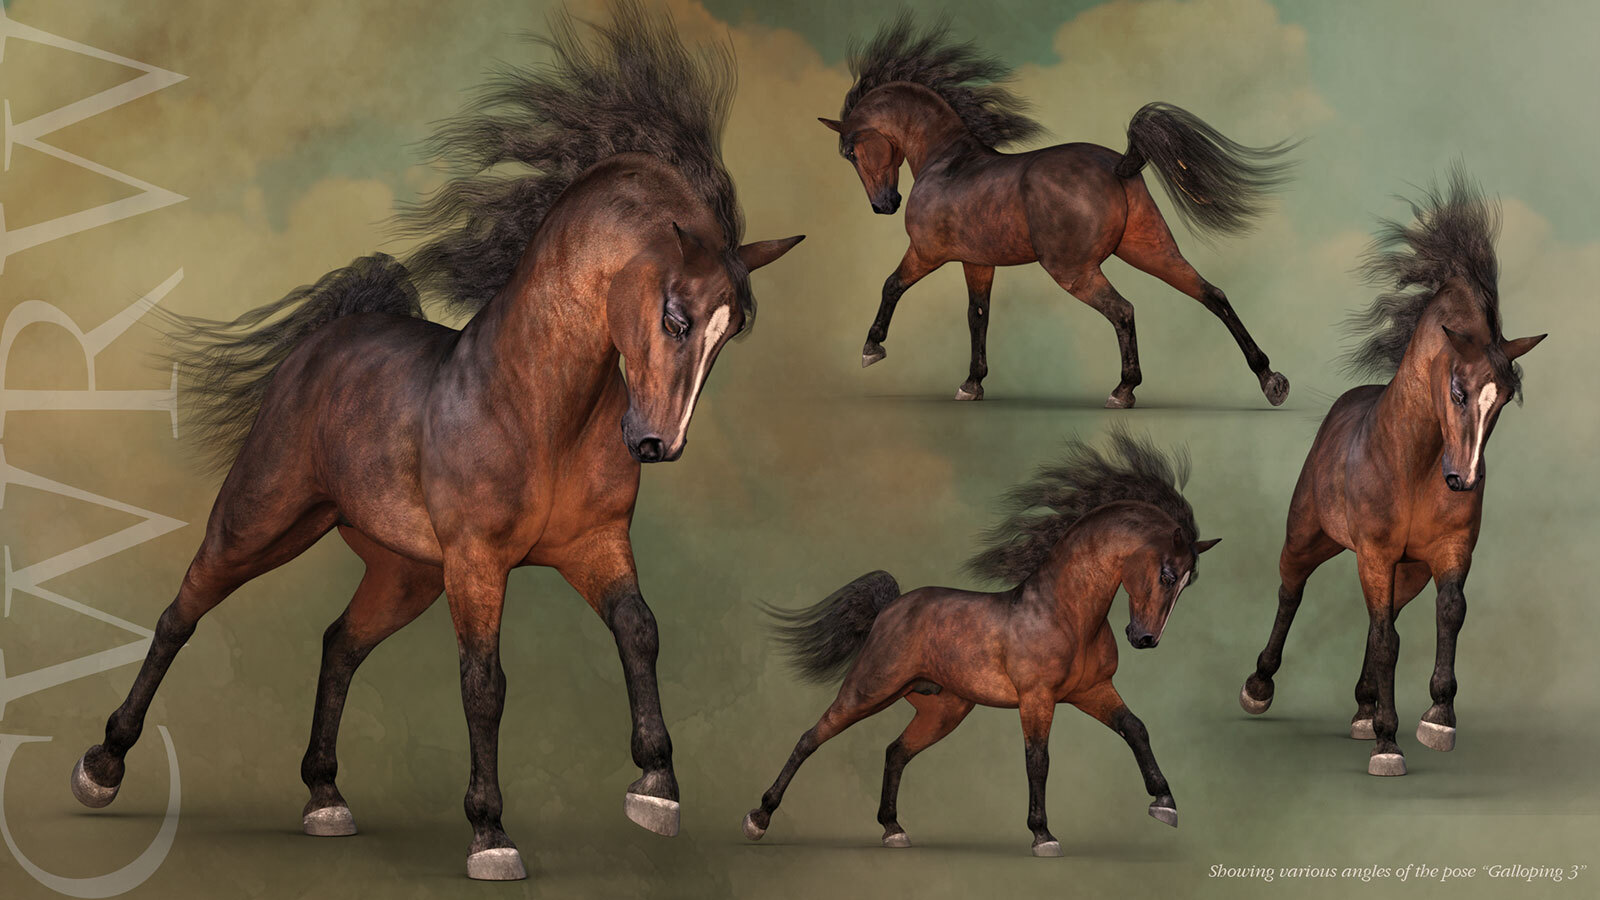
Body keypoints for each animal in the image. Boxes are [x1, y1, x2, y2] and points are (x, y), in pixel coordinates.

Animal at [66, 3, 803, 881]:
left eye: (730, 333)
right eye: (676, 316)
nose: (656, 442)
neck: (543, 408)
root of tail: (325, 340)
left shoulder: (593, 545)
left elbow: (641, 630)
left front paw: (656, 790)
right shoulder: (478, 562)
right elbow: (484, 682)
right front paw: (491, 835)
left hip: (402, 570)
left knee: (338, 643)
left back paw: (325, 799)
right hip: (263, 518)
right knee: (183, 610)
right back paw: (101, 767)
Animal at [742, 430, 1220, 857]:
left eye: (1186, 583)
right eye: (1167, 574)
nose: (1144, 638)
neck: (1068, 613)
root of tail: (890, 607)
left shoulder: (1092, 691)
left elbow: (1135, 728)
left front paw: (1165, 804)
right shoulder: (1037, 698)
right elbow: (1038, 759)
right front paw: (1043, 836)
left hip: (942, 709)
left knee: (895, 751)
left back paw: (893, 830)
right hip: (869, 690)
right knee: (811, 737)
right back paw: (758, 818)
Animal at [818, 16, 1296, 407]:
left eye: (851, 152)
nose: (884, 205)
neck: (946, 160)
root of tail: (1117, 165)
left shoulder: (926, 252)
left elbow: (891, 285)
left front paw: (871, 349)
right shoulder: (978, 263)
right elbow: (977, 317)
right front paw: (972, 384)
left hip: (1073, 269)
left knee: (1125, 310)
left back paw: (1124, 390)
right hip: (1150, 248)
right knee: (1211, 294)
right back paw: (1271, 380)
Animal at [1238, 168, 1545, 776]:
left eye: (1503, 400)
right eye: (1459, 390)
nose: (1464, 480)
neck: (1415, 463)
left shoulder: (1447, 553)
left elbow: (1447, 614)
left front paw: (1436, 720)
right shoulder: (1375, 553)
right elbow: (1386, 642)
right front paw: (1388, 744)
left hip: (1407, 570)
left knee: (1384, 618)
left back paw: (1361, 711)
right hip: (1309, 536)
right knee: (1291, 590)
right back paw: (1259, 688)